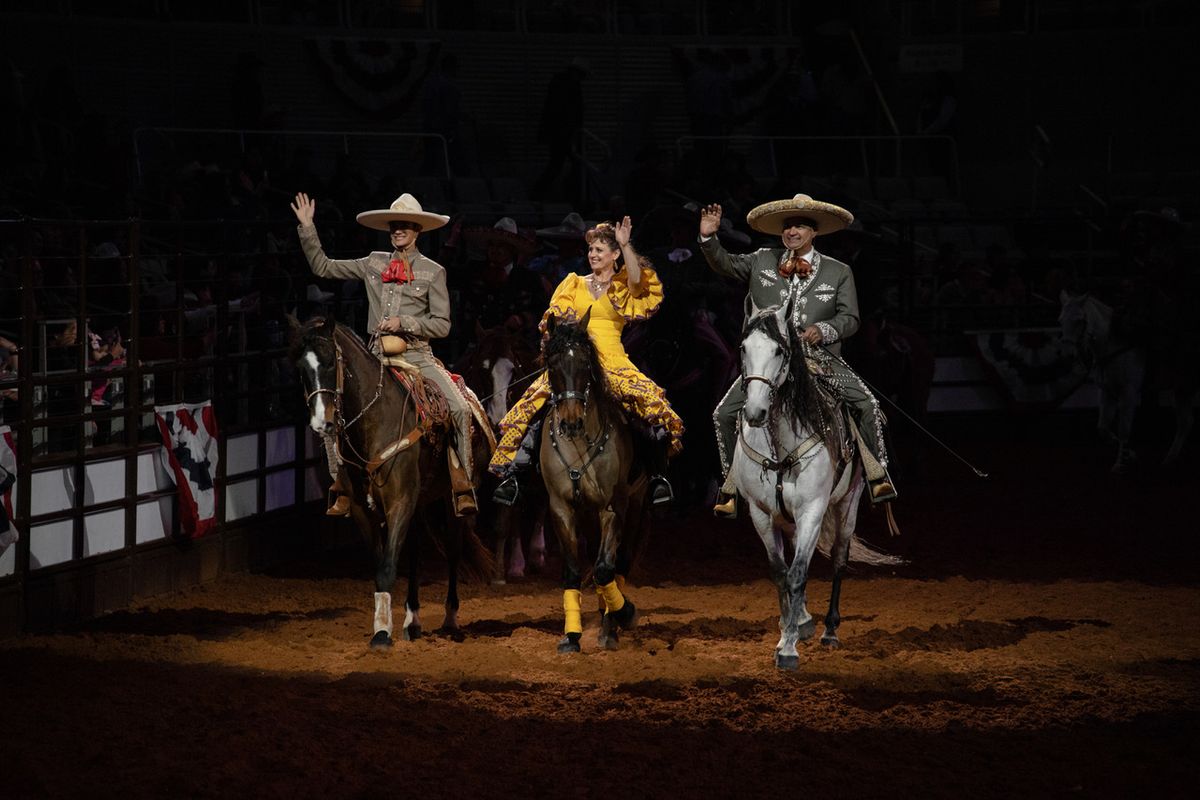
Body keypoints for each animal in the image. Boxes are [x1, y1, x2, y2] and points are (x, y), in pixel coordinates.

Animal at [290, 316, 492, 647]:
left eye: (331, 362)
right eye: (301, 369)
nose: (322, 423)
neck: (375, 420)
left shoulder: (400, 501)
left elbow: (387, 568)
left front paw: (383, 635)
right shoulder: (364, 509)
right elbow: (381, 564)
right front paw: (383, 626)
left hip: (453, 501)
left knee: (453, 549)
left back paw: (450, 618)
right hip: (419, 503)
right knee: (414, 553)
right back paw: (413, 621)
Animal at [540, 309, 648, 652]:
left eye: (586, 363)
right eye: (552, 364)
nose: (571, 421)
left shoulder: (612, 507)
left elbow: (604, 569)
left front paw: (621, 617)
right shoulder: (560, 508)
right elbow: (574, 570)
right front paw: (571, 636)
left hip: (636, 505)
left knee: (619, 562)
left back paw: (612, 622)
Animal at [734, 303, 902, 671]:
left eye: (779, 351)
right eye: (743, 349)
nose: (755, 412)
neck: (780, 445)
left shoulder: (812, 509)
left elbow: (798, 573)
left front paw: (788, 649)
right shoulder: (761, 514)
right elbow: (781, 573)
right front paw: (789, 628)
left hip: (847, 504)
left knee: (838, 559)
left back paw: (829, 631)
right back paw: (802, 620)